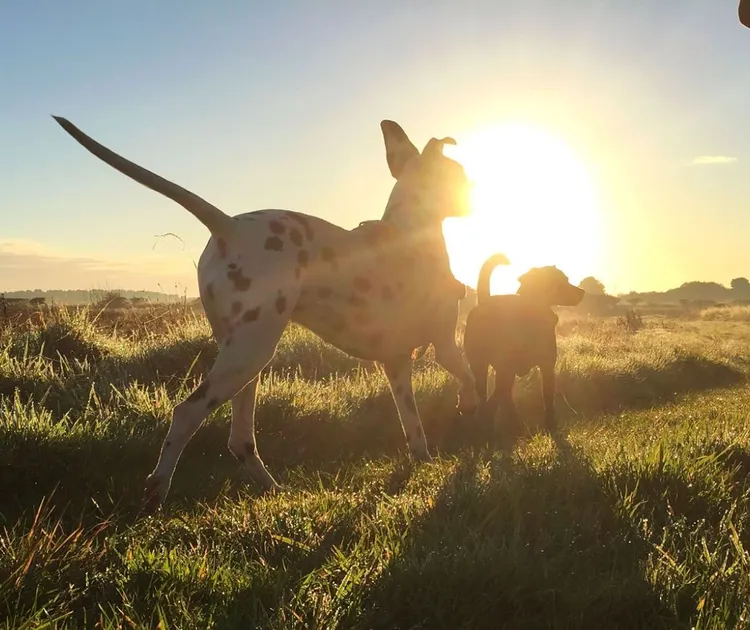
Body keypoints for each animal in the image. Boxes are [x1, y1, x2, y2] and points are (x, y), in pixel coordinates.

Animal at [53, 116, 482, 512]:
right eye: (460, 174)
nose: (476, 194)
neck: (412, 229)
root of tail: (230, 227)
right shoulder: (445, 345)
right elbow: (471, 378)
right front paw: (473, 409)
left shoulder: (396, 365)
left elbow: (414, 429)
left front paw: (425, 459)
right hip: (250, 353)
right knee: (186, 414)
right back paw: (158, 489)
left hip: (245, 359)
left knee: (240, 439)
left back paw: (272, 489)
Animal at [464, 252, 588, 434]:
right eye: (561, 281)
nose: (582, 291)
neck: (531, 309)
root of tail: (484, 302)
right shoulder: (541, 367)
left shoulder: (545, 367)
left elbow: (546, 397)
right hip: (498, 369)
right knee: (494, 399)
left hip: (489, 369)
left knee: (494, 397)